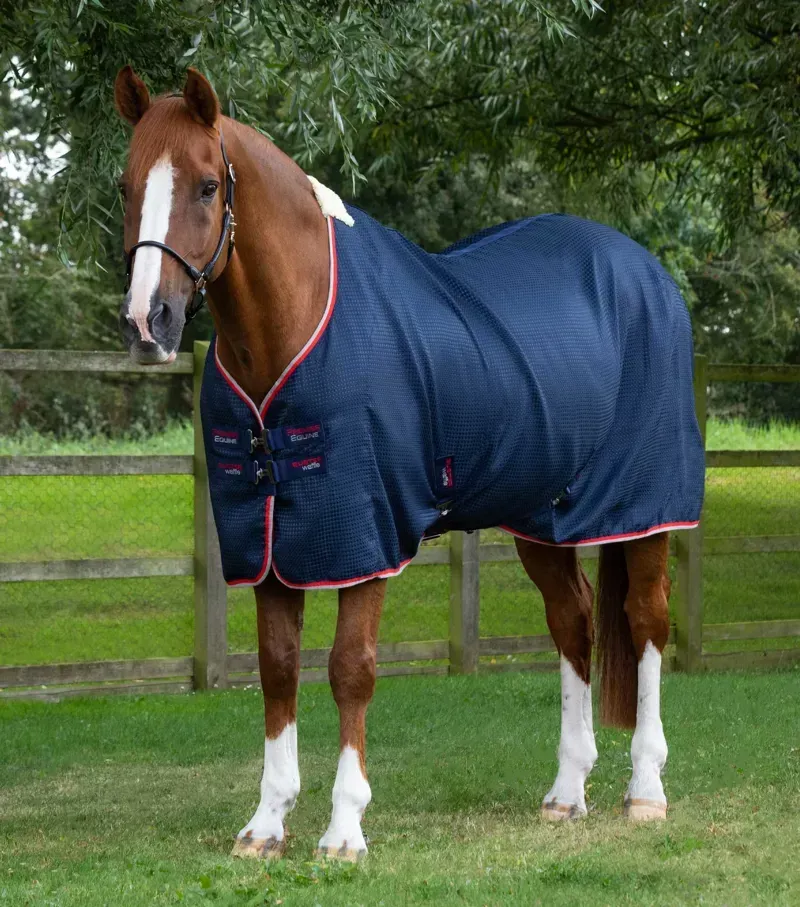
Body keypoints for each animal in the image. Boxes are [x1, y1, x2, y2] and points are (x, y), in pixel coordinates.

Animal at [114, 66, 704, 860]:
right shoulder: (270, 539)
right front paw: (266, 823)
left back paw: (644, 790)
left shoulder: (364, 533)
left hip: (645, 509)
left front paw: (343, 829)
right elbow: (277, 668)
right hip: (541, 515)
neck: (302, 313)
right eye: (126, 184)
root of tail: (648, 275)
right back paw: (566, 792)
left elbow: (350, 669)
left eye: (208, 186)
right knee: (573, 621)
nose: (149, 323)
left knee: (644, 622)